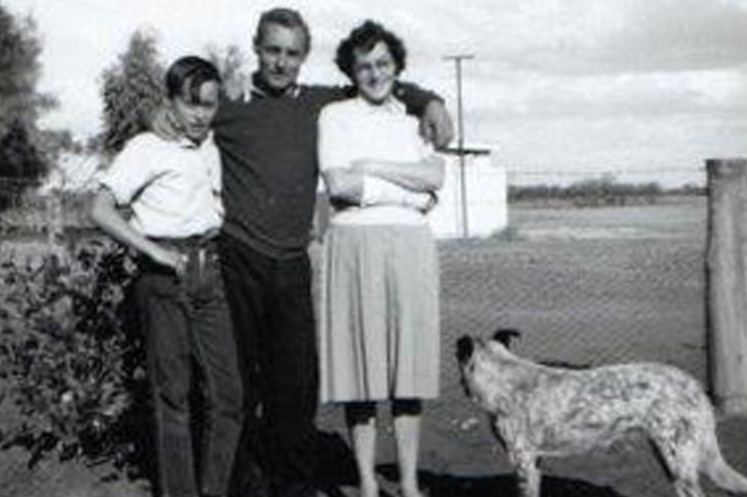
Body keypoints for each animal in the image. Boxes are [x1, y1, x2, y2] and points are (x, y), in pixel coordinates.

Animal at [456, 330, 747, 496]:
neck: (505, 380)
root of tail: (694, 385)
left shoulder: (522, 461)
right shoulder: (535, 462)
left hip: (679, 462)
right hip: (669, 460)